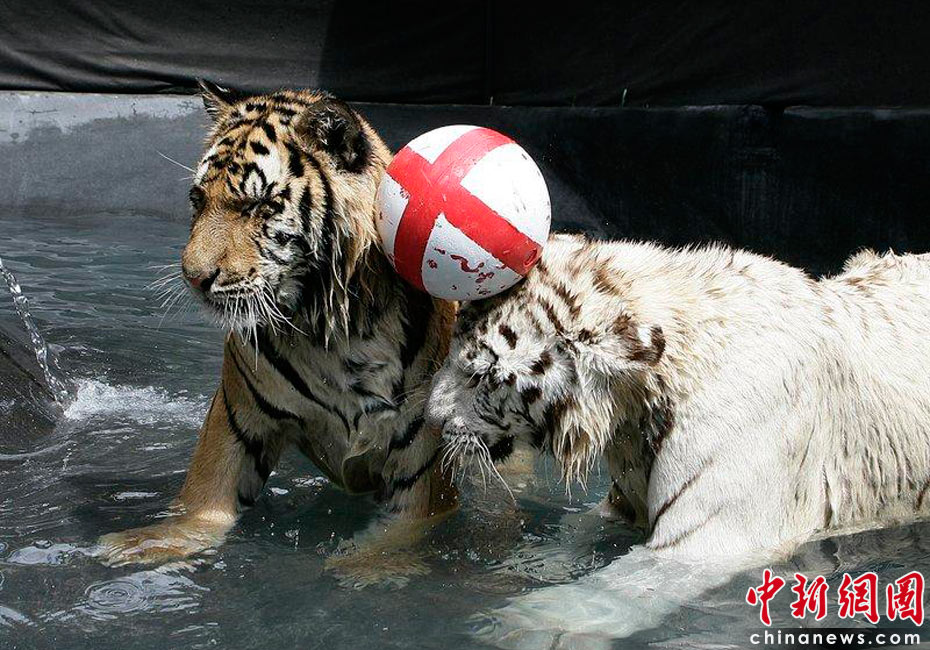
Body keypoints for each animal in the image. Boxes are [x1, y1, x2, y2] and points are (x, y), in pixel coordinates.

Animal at [97, 82, 458, 577]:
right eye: (198, 200)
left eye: (258, 205)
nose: (193, 276)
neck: (335, 331)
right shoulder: (237, 415)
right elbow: (204, 496)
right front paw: (154, 542)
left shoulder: (420, 455)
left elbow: (408, 528)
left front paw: (372, 566)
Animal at [425, 233, 930, 647]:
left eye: (482, 375)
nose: (431, 417)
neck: (640, 398)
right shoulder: (621, 499)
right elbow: (576, 533)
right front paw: (524, 562)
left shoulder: (707, 538)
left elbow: (615, 590)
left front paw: (523, 623)